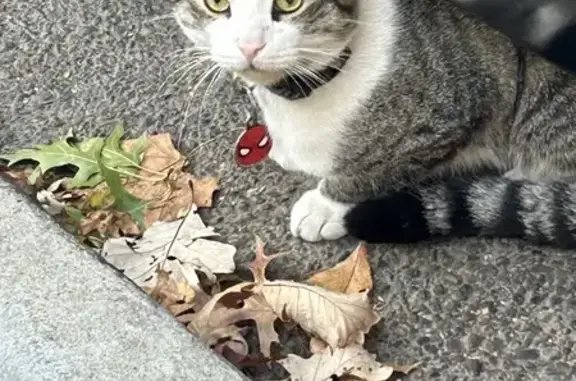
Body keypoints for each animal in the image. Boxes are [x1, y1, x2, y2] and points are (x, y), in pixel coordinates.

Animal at [172, 0, 576, 248]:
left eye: (290, 3)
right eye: (216, 4)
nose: (249, 45)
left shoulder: (445, 119)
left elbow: (378, 169)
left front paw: (325, 206)